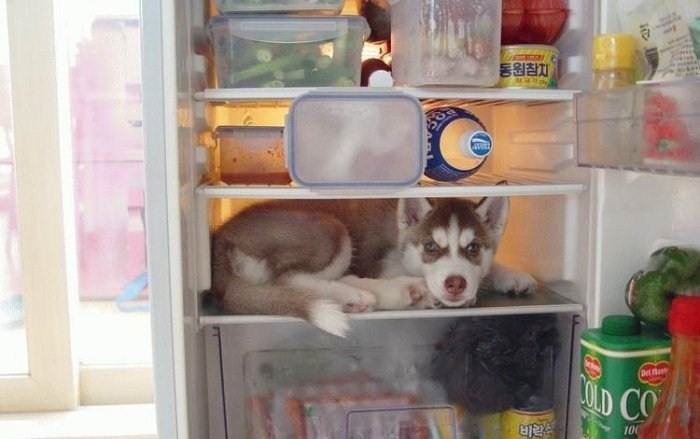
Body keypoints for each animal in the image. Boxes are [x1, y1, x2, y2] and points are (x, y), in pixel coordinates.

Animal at [211, 198, 532, 338]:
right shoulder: (383, 262)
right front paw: (424, 291)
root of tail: (222, 236)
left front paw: (513, 276)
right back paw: (371, 294)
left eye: (473, 248)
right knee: (289, 278)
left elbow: (489, 267)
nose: (455, 284)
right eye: (431, 247)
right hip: (332, 229)